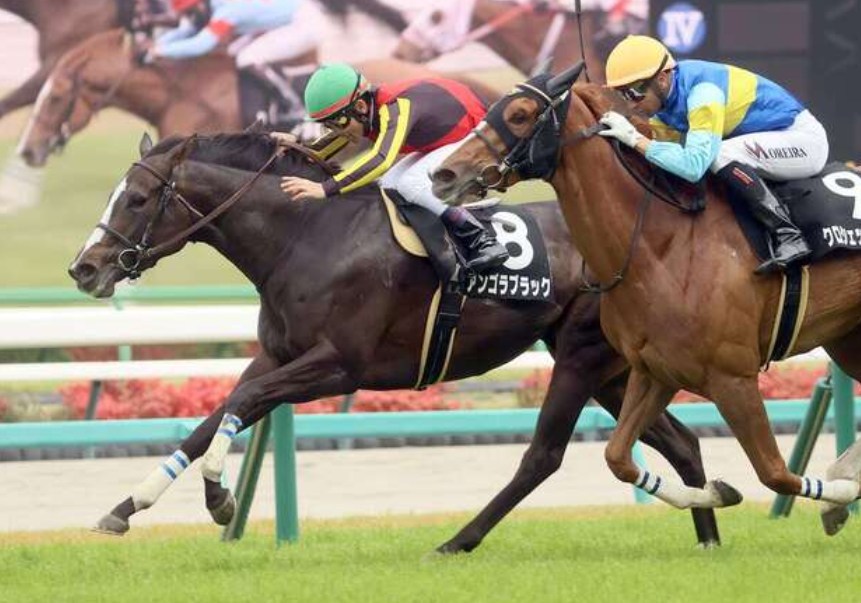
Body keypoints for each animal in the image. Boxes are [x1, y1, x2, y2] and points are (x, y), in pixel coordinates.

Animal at [67, 130, 720, 550]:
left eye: (138, 199)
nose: (84, 268)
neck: (305, 236)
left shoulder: (339, 367)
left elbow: (239, 405)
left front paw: (218, 500)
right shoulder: (276, 355)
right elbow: (212, 418)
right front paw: (125, 508)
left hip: (582, 356)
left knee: (544, 455)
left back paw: (459, 541)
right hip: (610, 366)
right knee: (682, 442)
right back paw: (709, 528)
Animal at [431, 65, 861, 536]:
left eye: (521, 113)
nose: (444, 174)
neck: (663, 244)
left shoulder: (733, 377)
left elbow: (776, 473)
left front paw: (840, 494)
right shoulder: (654, 369)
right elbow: (617, 457)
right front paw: (719, 492)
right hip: (846, 339)